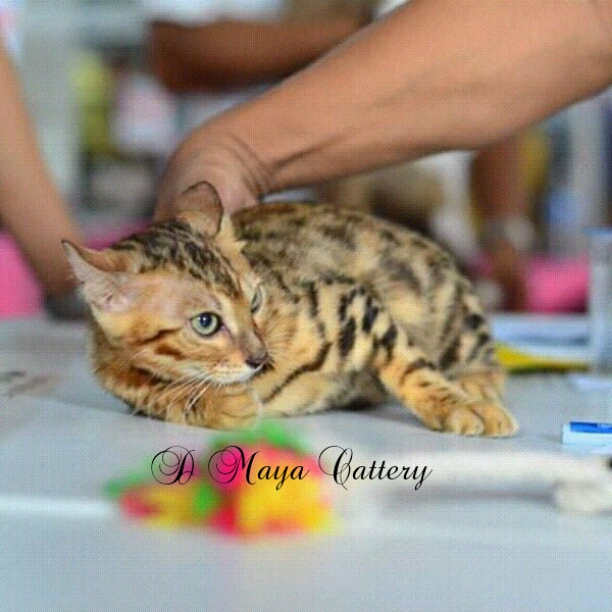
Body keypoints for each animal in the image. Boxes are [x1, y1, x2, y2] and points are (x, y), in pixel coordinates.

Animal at [63, 182, 517, 436]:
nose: (259, 357)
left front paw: (457, 406)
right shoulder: (114, 374)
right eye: (206, 323)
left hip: (438, 297)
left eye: (256, 301)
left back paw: (476, 383)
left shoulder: (351, 303)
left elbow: (410, 365)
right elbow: (159, 398)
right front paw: (217, 403)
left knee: (477, 347)